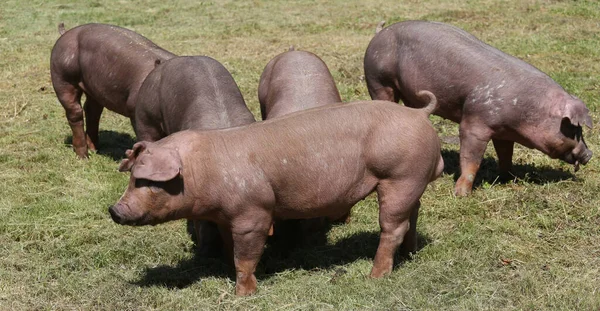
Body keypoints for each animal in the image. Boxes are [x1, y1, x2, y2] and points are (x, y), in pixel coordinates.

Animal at [50, 22, 175, 158]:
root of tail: (66, 33)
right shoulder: (135, 111)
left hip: (93, 87)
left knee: (92, 110)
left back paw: (94, 150)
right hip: (62, 76)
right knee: (74, 111)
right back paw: (83, 157)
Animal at [110, 98, 442, 298]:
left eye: (144, 180)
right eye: (132, 177)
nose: (114, 210)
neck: (203, 169)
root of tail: (419, 113)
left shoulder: (253, 212)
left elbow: (246, 255)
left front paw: (242, 294)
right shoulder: (225, 217)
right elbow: (231, 248)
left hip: (400, 176)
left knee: (393, 226)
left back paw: (374, 276)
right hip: (413, 181)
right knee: (413, 215)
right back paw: (410, 254)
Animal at [364, 21, 592, 197]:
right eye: (573, 128)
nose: (589, 153)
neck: (528, 109)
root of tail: (379, 33)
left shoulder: (504, 132)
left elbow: (505, 154)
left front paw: (509, 179)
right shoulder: (474, 122)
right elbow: (471, 159)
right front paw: (462, 195)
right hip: (377, 80)